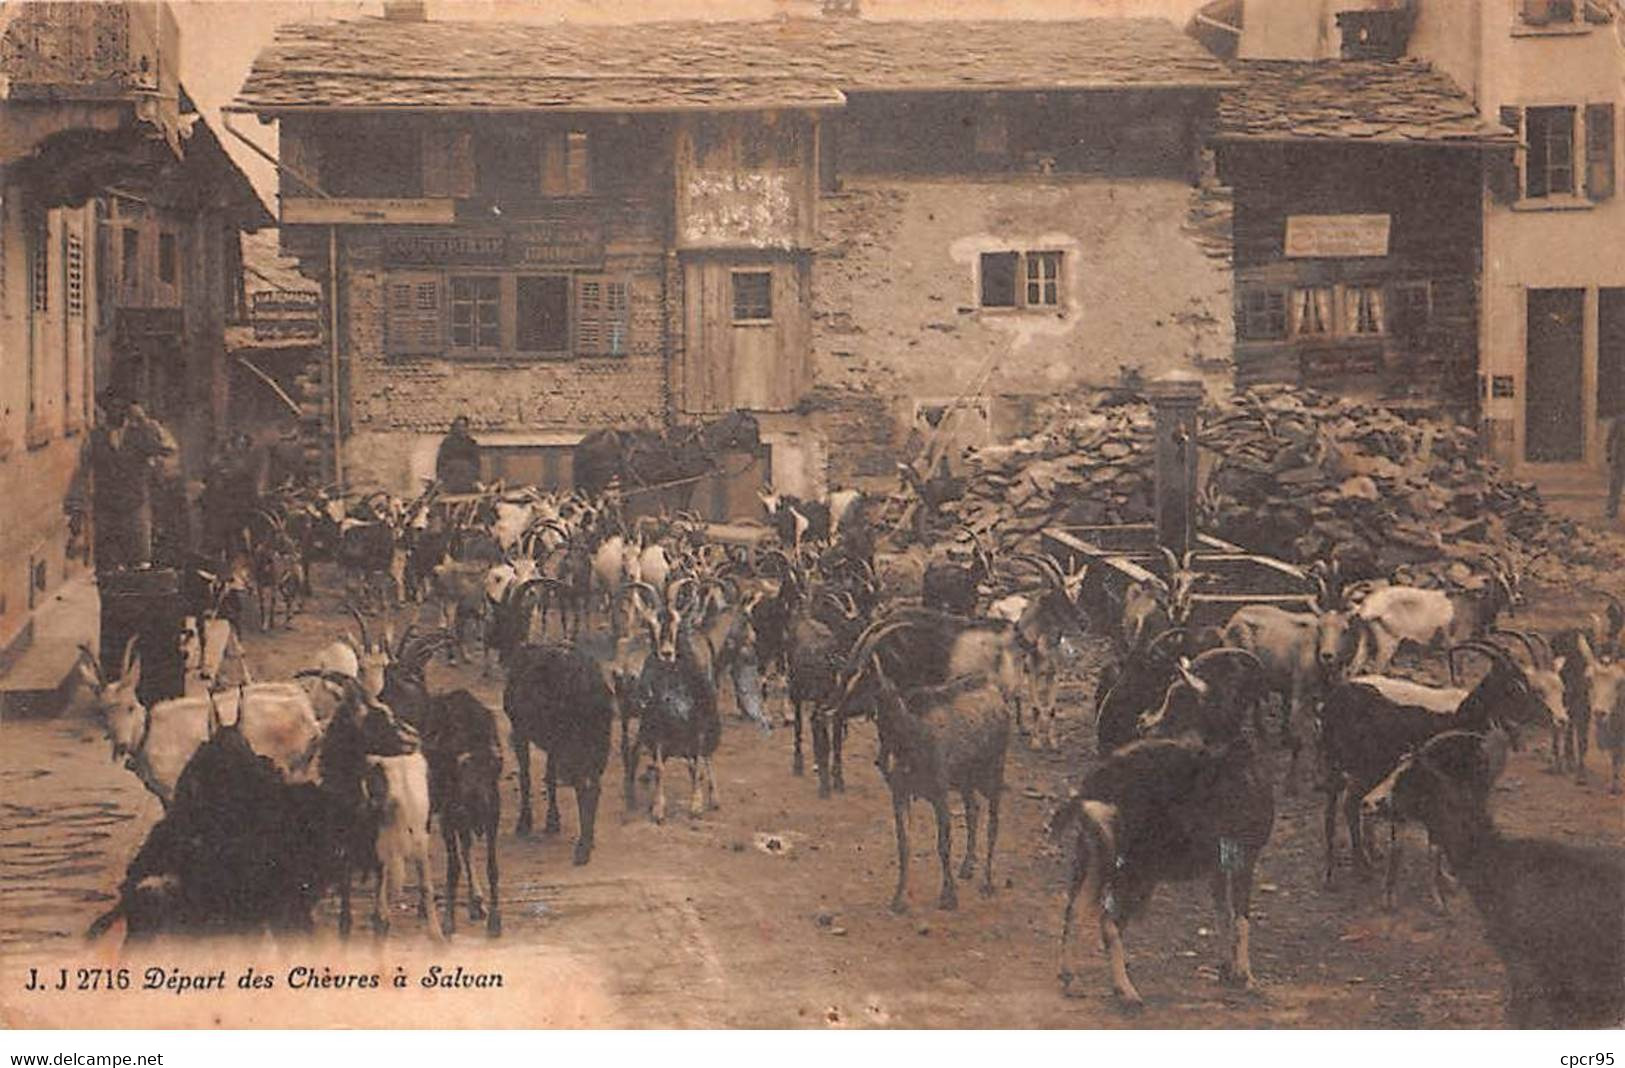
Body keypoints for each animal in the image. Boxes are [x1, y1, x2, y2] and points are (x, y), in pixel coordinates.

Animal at [1053, 646, 1280, 1001]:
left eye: (1179, 697)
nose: (1143, 722)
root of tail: (1095, 789)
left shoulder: (1216, 867)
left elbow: (1223, 916)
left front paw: (1227, 968)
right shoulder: (1244, 855)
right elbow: (1242, 918)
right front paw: (1246, 976)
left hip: (1093, 855)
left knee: (1073, 909)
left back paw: (1070, 978)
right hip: (1136, 868)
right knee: (1108, 921)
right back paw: (1126, 991)